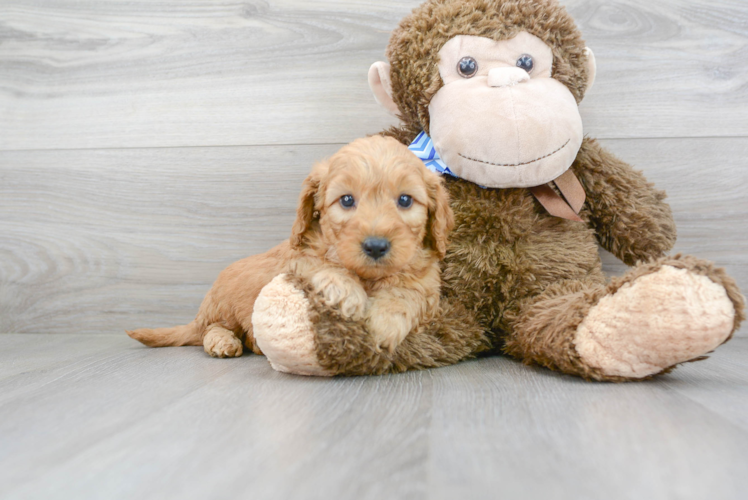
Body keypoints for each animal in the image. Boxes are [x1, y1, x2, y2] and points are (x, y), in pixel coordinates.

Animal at [126, 135, 452, 358]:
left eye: (405, 200)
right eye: (347, 200)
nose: (375, 246)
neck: (368, 277)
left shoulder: (427, 285)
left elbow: (406, 293)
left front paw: (383, 323)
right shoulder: (297, 258)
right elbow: (319, 265)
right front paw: (346, 292)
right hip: (223, 306)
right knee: (211, 329)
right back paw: (223, 341)